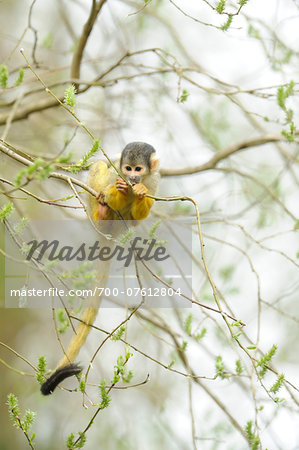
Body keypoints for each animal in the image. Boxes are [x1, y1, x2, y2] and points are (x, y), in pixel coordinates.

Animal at [41, 141, 162, 394]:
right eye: (127, 168)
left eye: (138, 169)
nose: (131, 178)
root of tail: (110, 232)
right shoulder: (116, 171)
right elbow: (107, 174)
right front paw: (118, 192)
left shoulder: (154, 179)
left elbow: (141, 211)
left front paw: (139, 192)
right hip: (91, 205)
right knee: (99, 169)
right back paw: (104, 212)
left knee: (131, 220)